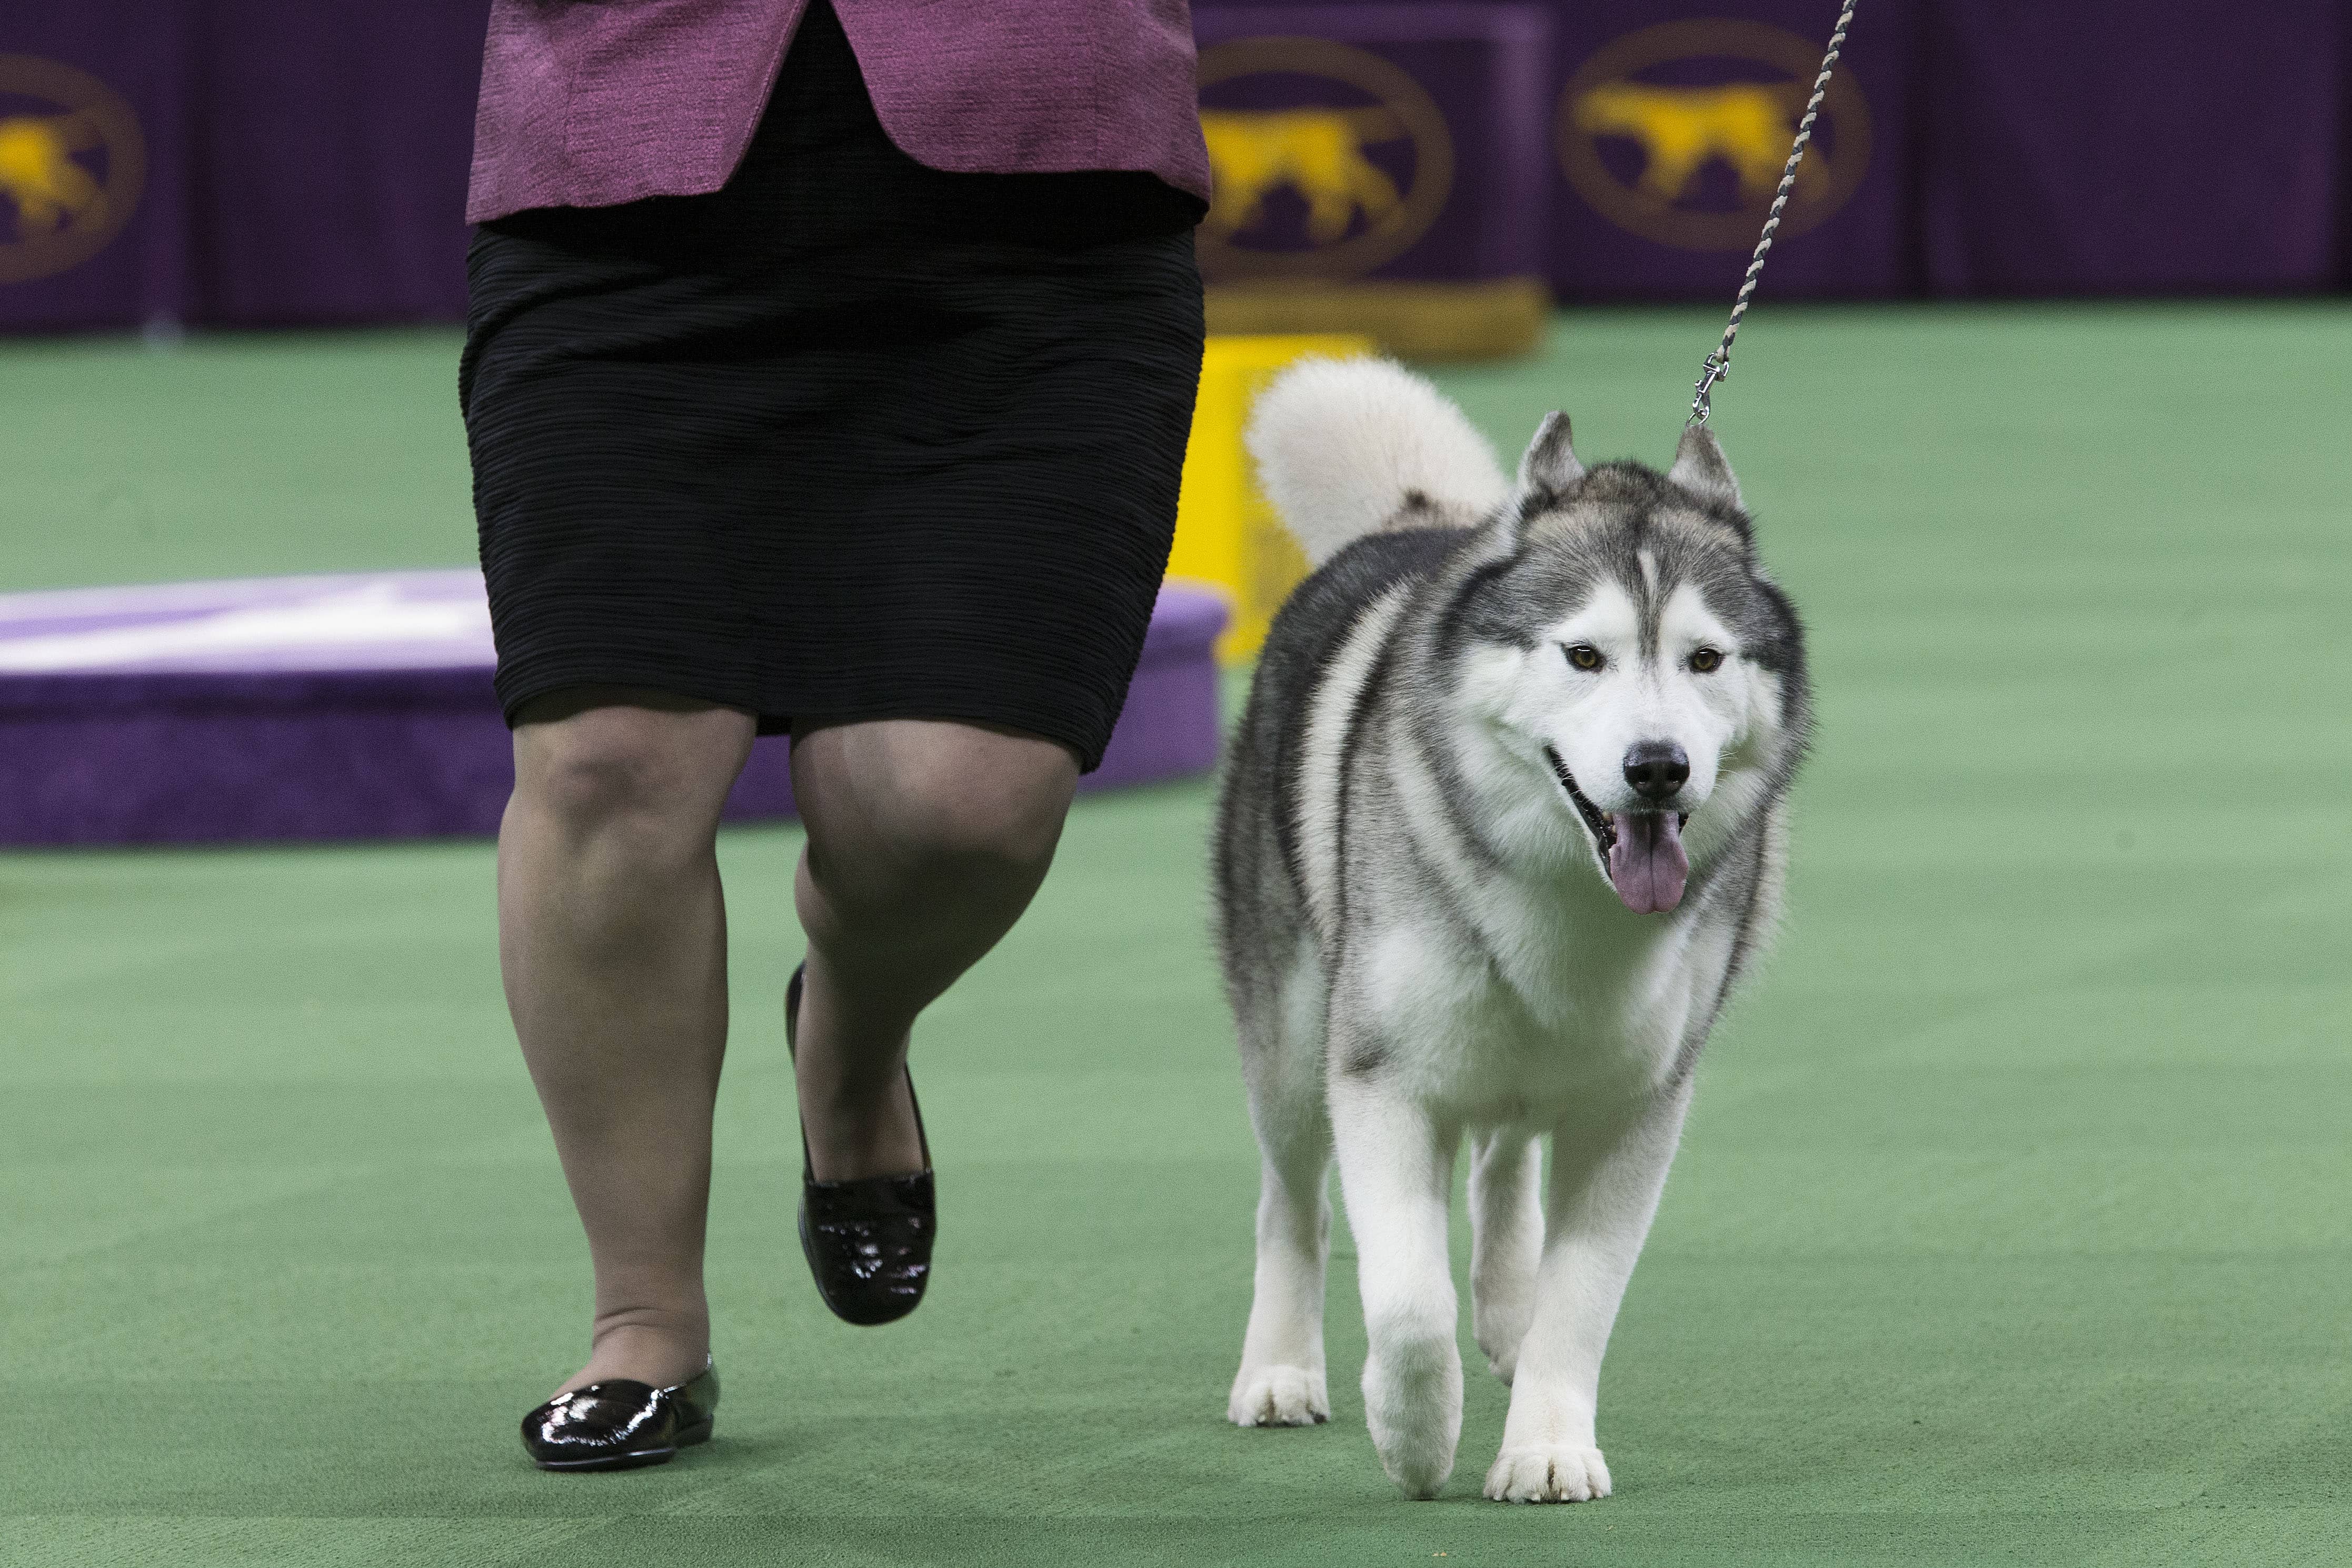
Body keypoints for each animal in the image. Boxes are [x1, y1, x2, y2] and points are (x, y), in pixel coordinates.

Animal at [1223, 362, 1806, 1504]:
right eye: (1582, 654)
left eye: (1703, 657)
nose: (1657, 767)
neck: (1567, 893)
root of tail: (1419, 519)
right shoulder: (1381, 1079)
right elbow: (1407, 1304)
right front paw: (1412, 1433)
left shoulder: (1638, 1106)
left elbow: (1580, 1295)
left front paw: (1545, 1443)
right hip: (1293, 1034)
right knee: (1289, 1199)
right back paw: (1279, 1368)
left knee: (1503, 1151)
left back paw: (1502, 1302)